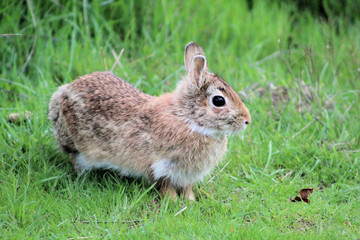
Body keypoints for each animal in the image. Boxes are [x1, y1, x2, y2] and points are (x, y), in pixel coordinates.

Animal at [48, 41, 250, 201]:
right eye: (219, 101)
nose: (247, 120)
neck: (188, 119)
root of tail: (64, 91)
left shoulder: (185, 175)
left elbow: (187, 189)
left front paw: (190, 202)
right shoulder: (160, 167)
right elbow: (165, 187)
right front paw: (173, 203)